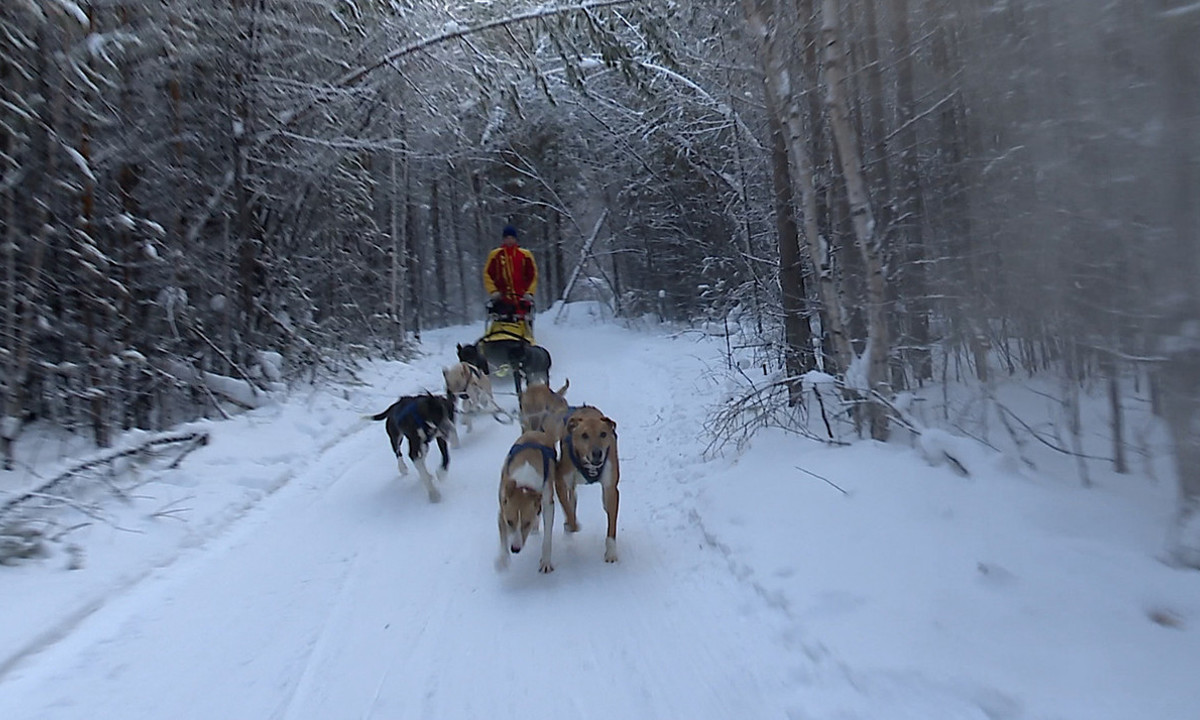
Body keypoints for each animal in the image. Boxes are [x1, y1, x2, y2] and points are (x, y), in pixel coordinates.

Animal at [496, 427, 556, 573]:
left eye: (526, 523)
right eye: (510, 522)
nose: (515, 549)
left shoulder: (548, 504)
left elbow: (547, 538)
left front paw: (546, 561)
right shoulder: (502, 508)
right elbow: (503, 537)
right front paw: (503, 559)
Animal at [554, 405, 624, 561]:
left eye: (603, 434)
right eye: (584, 435)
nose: (597, 453)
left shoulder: (611, 488)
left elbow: (612, 523)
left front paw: (611, 551)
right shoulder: (560, 482)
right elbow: (568, 510)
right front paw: (571, 525)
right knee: (571, 501)